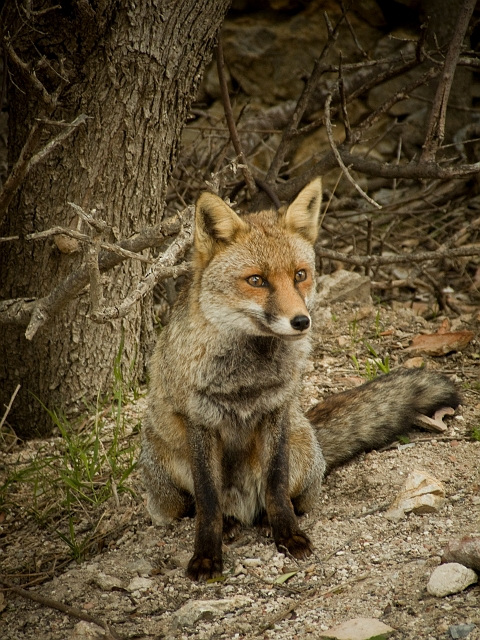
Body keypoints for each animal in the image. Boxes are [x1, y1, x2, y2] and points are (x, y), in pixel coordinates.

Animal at [140, 179, 462, 580]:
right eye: (256, 280)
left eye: (300, 275)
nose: (300, 321)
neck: (247, 376)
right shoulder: (200, 420)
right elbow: (208, 502)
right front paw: (206, 556)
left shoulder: (276, 409)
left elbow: (276, 486)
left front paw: (288, 534)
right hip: (166, 484)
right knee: (191, 508)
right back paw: (229, 523)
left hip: (301, 454)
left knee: (285, 498)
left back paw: (264, 519)